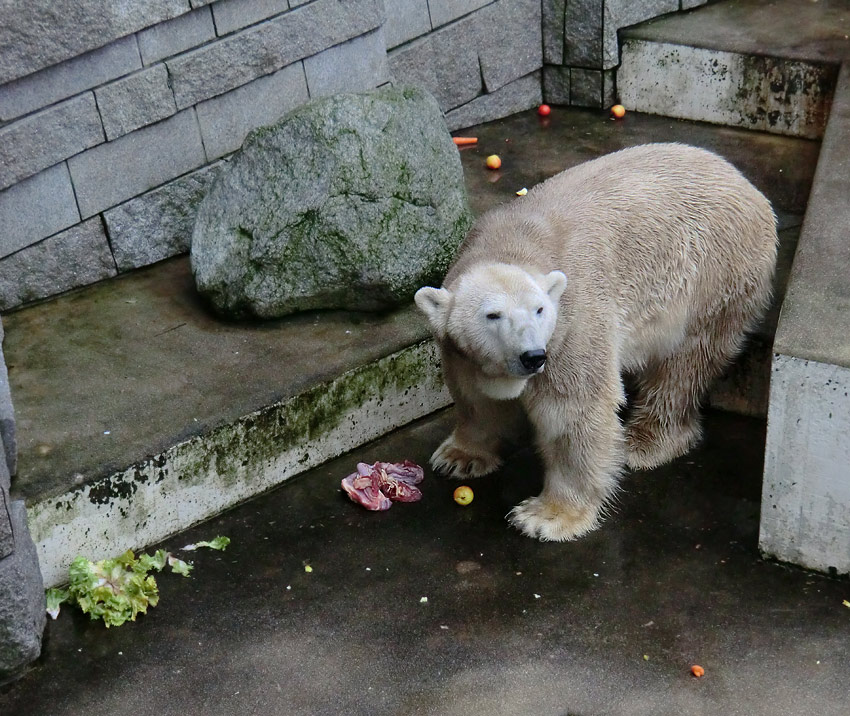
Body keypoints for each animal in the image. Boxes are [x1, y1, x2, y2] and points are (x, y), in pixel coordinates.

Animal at [412, 143, 776, 540]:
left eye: (540, 310)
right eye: (493, 315)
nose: (532, 356)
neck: (511, 242)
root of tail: (745, 184)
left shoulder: (573, 322)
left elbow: (573, 410)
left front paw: (547, 515)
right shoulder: (458, 347)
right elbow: (475, 396)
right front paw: (459, 458)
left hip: (712, 272)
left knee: (684, 361)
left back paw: (645, 441)